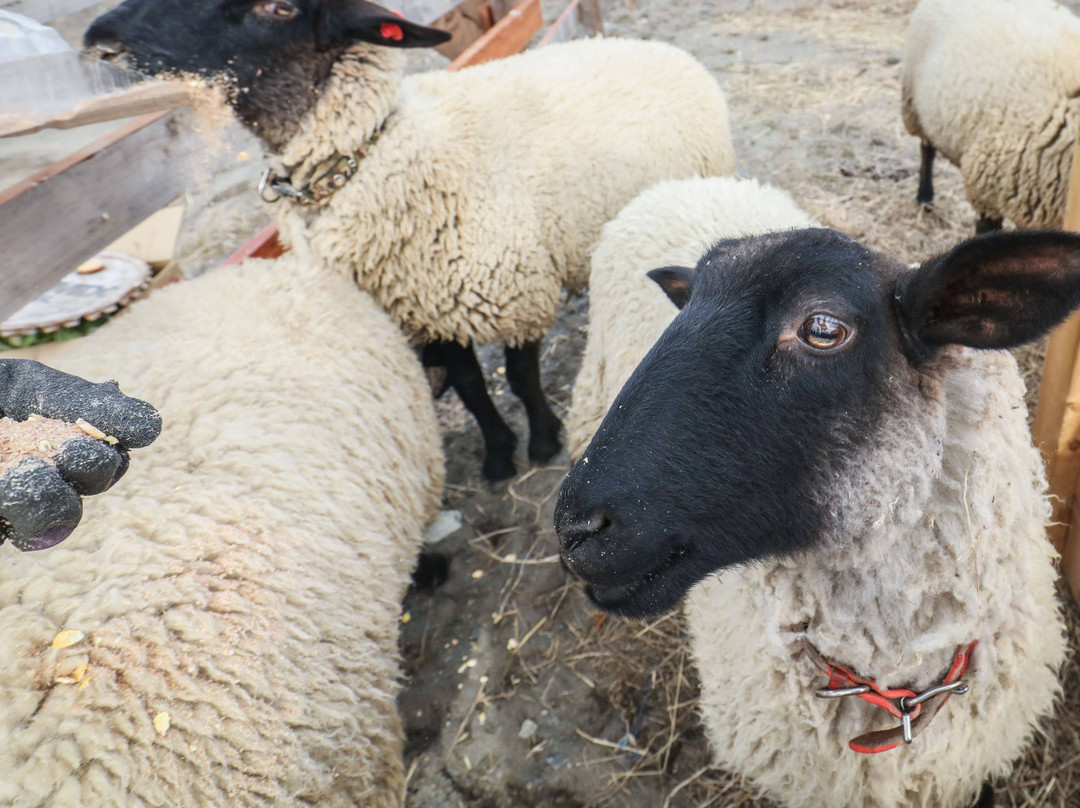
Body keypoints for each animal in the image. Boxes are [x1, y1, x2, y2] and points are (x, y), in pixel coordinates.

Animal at [82, 0, 736, 481]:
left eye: (279, 7)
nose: (100, 34)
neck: (373, 153)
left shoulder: (512, 288)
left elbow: (519, 378)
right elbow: (470, 387)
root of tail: (643, 43)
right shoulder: (423, 306)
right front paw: (497, 454)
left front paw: (542, 441)